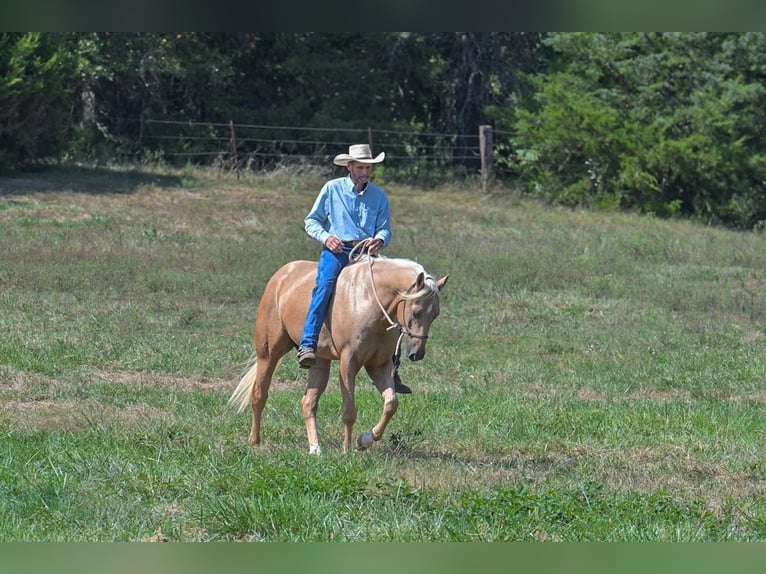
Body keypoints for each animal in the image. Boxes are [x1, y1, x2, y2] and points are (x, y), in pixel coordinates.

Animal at [228, 254, 448, 454]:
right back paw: (255, 442)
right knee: (259, 394)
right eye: (416, 311)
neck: (369, 302)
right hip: (268, 353)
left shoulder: (379, 365)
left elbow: (391, 404)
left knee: (308, 402)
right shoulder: (348, 362)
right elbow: (349, 410)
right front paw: (346, 450)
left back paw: (315, 448)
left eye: (435, 315)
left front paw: (364, 440)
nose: (417, 353)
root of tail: (281, 276)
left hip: (319, 362)